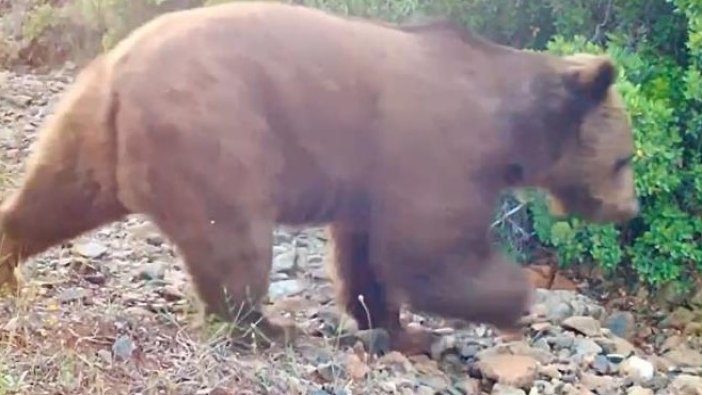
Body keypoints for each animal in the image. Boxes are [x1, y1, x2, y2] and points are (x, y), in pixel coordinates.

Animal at [0, 1, 640, 356]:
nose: (629, 210)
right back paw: (267, 327)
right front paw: (515, 299)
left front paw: (401, 330)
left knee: (51, 198)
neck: (508, 126)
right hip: (218, 131)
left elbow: (365, 257)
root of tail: (122, 71)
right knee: (234, 239)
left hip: (88, 128)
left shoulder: (371, 179)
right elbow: (426, 252)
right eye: (625, 159)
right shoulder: (433, 151)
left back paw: (9, 270)